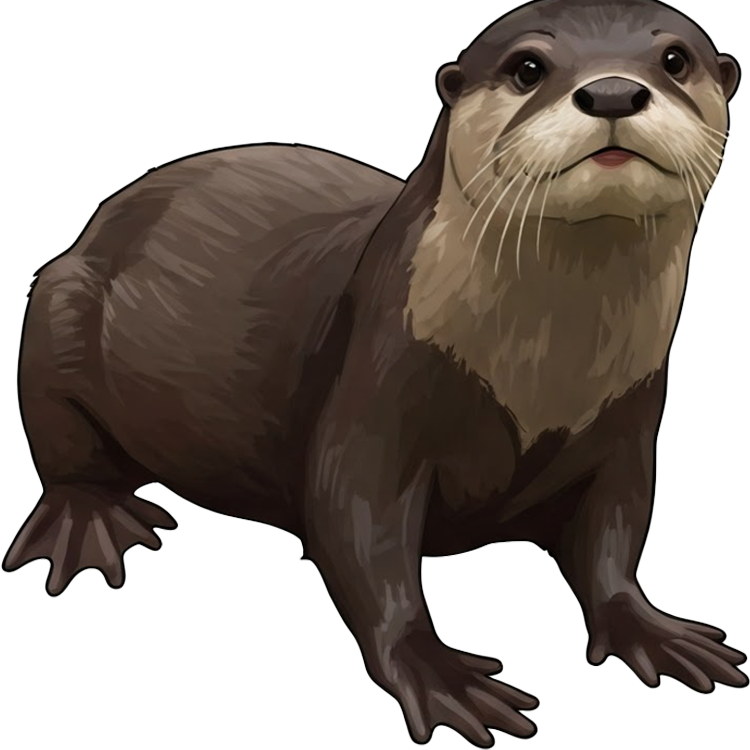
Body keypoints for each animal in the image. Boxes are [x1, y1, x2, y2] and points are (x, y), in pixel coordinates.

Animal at [4, 0, 746, 744]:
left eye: (675, 59)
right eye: (528, 68)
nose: (614, 92)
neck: (546, 364)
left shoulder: (630, 419)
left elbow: (614, 534)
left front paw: (650, 629)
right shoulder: (379, 379)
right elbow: (358, 524)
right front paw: (434, 672)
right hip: (58, 300)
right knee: (58, 430)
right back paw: (86, 517)